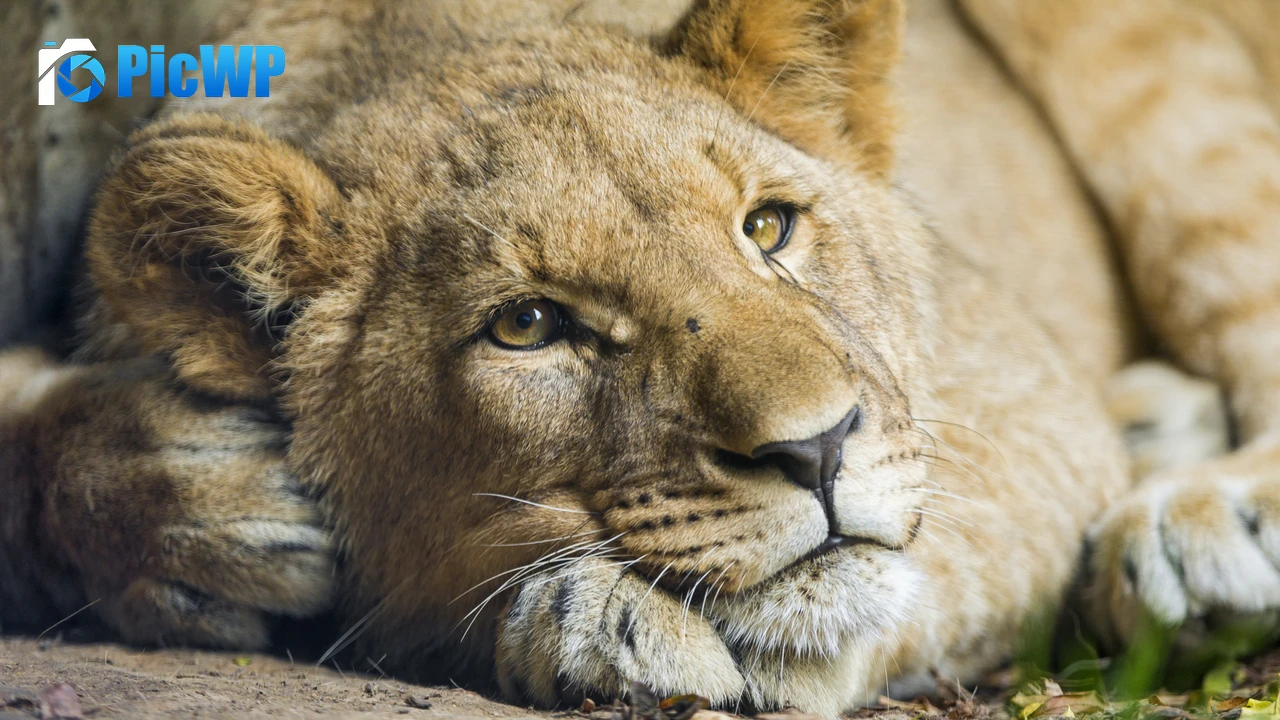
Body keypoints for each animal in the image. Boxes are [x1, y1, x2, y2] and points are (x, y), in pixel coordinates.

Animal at [3, 0, 1280, 715]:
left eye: (767, 226)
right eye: (527, 327)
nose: (817, 450)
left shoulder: (1024, 394)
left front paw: (598, 615)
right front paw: (177, 496)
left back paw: (1198, 521)